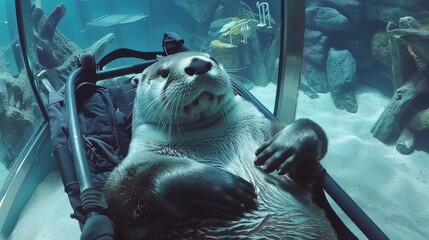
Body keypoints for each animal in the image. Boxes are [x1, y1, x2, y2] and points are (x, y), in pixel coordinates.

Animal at [103, 50, 334, 238]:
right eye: (163, 73)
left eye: (212, 57)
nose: (198, 63)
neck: (211, 135)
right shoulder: (131, 169)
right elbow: (129, 191)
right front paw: (221, 184)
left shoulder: (264, 129)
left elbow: (309, 140)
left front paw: (288, 145)